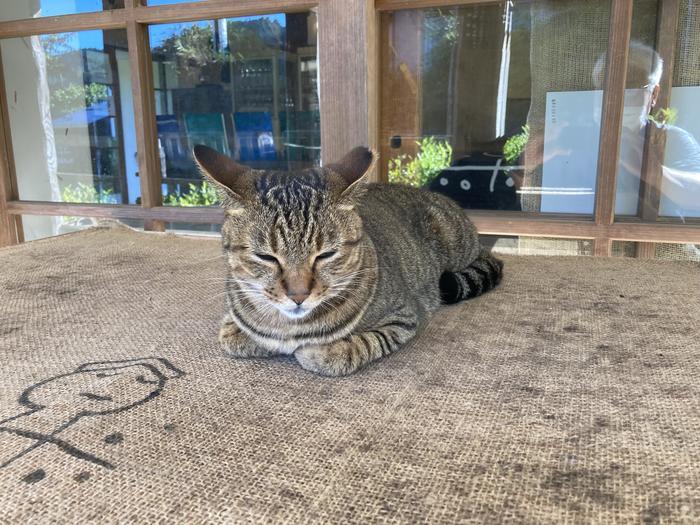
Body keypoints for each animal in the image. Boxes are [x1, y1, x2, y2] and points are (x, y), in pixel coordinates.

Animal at [194, 142, 504, 376]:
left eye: (326, 254)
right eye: (266, 257)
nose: (298, 295)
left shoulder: (403, 316)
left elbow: (360, 344)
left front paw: (321, 351)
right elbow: (234, 331)